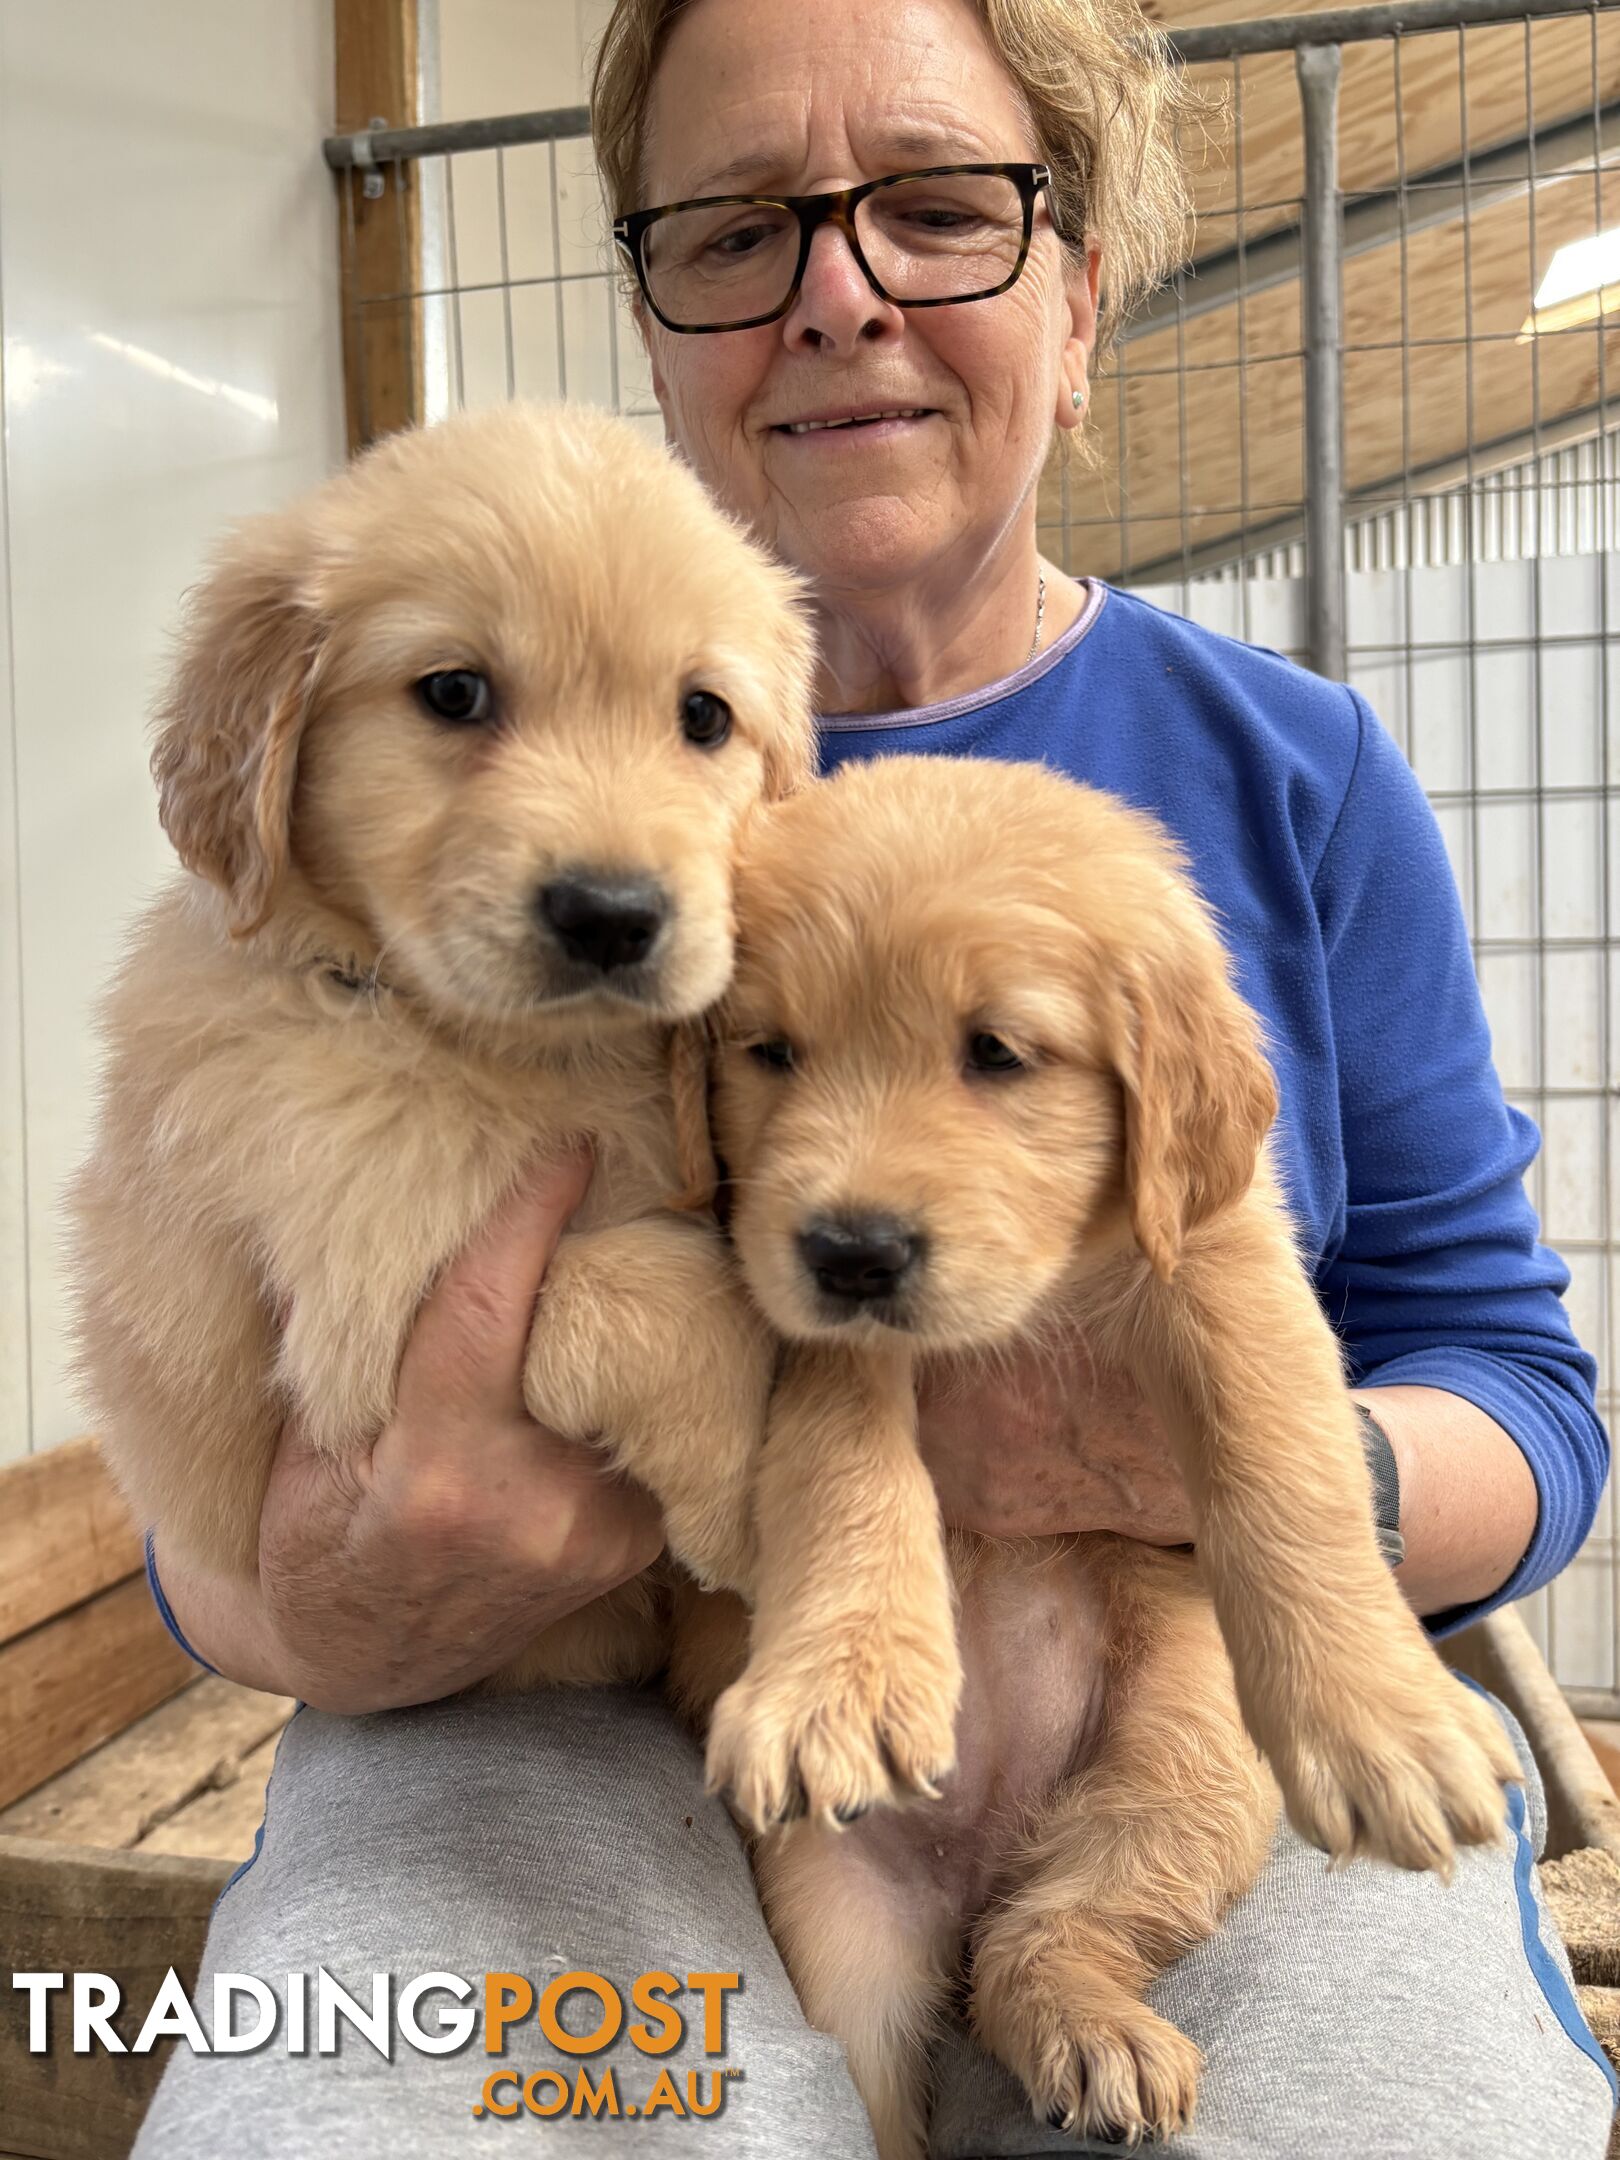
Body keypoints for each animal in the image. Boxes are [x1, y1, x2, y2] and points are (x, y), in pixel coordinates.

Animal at [69, 401, 816, 1684]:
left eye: (704, 716)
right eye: (455, 693)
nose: (613, 916)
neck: (490, 1047)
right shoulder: (365, 1308)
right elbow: (638, 1280)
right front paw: (741, 1508)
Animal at [678, 751, 1529, 2151]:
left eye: (997, 1053)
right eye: (771, 1052)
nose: (852, 1254)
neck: (1044, 1288)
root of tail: (979, 1856)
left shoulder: (1227, 1262)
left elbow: (1282, 1457)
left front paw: (1381, 1720)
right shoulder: (806, 1319)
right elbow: (843, 1469)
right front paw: (836, 1687)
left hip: (1193, 1771)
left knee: (1047, 1937)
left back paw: (1096, 2033)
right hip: (842, 1932)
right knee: (904, 2056)